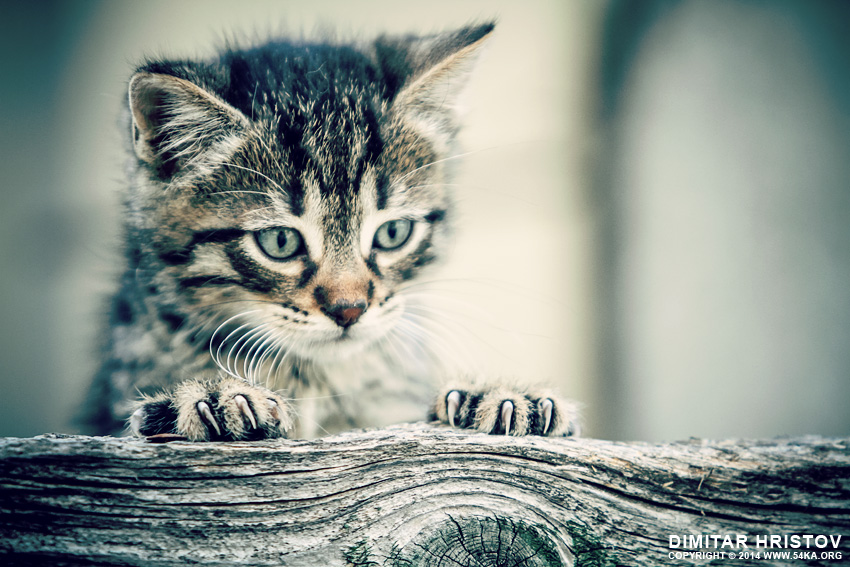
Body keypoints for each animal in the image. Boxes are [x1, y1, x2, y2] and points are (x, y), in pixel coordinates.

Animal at [83, 22, 580, 442]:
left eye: (393, 233)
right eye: (280, 242)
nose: (349, 309)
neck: (317, 379)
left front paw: (500, 397)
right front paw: (210, 398)